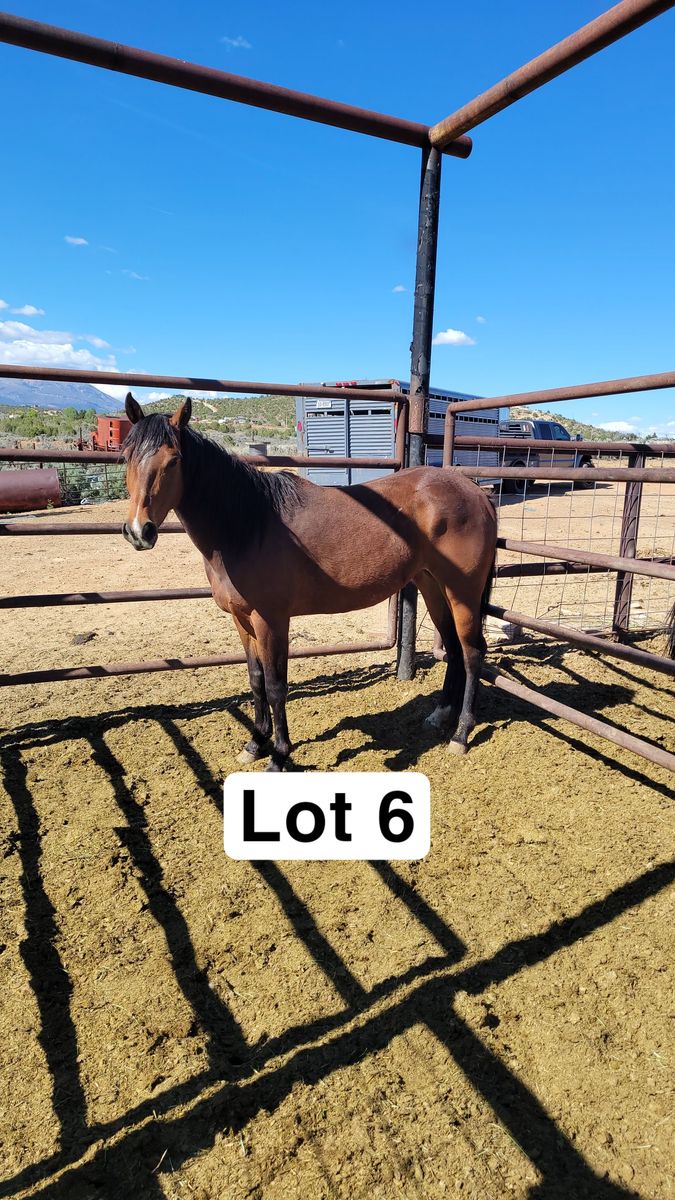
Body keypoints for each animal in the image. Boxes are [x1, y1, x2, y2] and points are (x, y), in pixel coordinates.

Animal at [121, 393, 498, 770]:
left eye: (173, 461)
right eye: (126, 457)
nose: (139, 531)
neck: (247, 525)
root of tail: (475, 491)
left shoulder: (271, 621)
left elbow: (276, 686)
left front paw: (279, 755)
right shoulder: (242, 621)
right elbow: (256, 680)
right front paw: (254, 744)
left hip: (462, 592)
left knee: (472, 652)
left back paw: (461, 735)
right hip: (433, 585)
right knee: (453, 647)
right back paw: (440, 716)